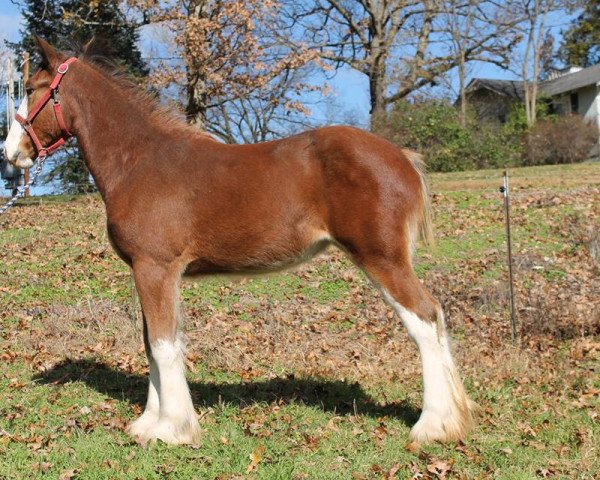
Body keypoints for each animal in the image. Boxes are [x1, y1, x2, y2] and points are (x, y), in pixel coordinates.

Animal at [4, 40, 474, 446]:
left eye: (33, 89)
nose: (10, 154)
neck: (139, 160)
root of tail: (403, 158)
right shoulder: (148, 270)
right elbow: (152, 342)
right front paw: (148, 423)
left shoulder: (156, 268)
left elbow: (163, 343)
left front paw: (172, 429)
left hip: (382, 259)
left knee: (425, 320)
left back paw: (432, 425)